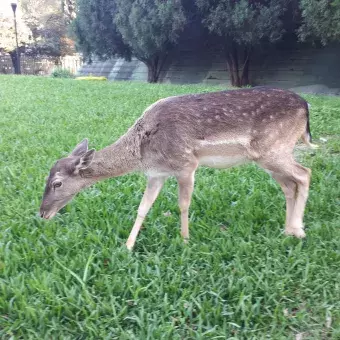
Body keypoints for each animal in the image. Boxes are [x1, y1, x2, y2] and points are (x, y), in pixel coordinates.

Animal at [39, 86, 316, 251]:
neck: (143, 151)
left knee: (304, 173)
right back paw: (287, 230)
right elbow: (143, 207)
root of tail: (306, 107)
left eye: (57, 183)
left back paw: (298, 230)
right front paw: (128, 246)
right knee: (289, 185)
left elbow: (183, 204)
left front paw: (184, 240)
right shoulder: (156, 174)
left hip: (274, 149)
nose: (42, 213)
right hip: (268, 157)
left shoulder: (186, 163)